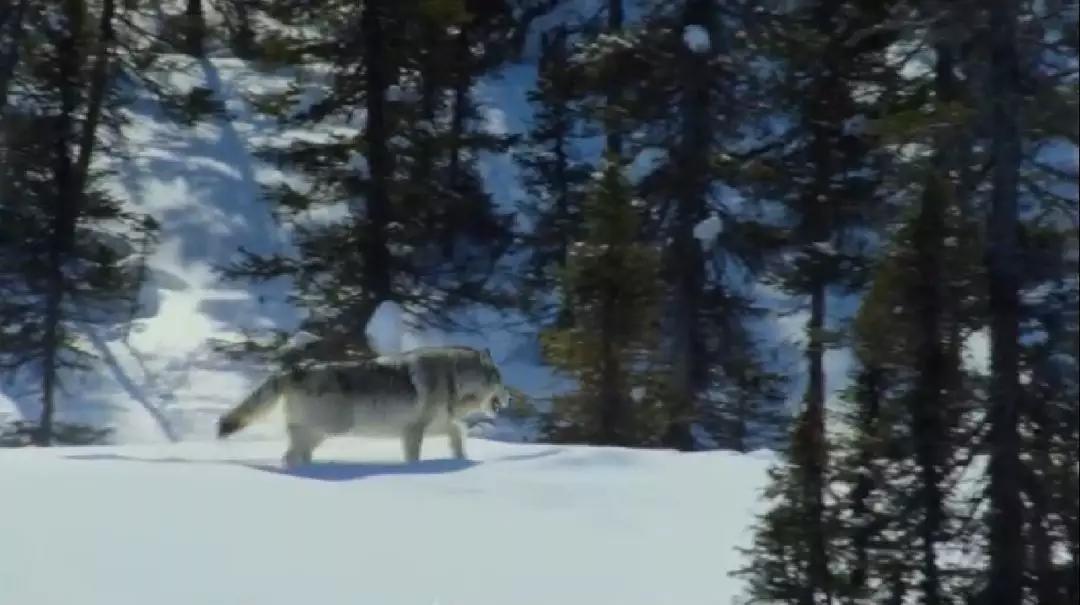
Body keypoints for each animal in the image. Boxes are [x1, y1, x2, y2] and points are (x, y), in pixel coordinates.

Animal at [219, 345, 509, 468]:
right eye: (500, 379)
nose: (509, 398)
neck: (453, 379)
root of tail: (295, 369)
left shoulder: (442, 425)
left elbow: (459, 435)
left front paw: (462, 460)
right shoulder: (413, 431)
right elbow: (414, 458)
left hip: (320, 433)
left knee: (293, 454)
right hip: (329, 428)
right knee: (290, 455)